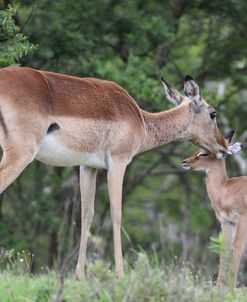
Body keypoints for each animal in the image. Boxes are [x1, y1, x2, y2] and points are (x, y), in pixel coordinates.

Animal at [0, 68, 229, 278]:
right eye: (213, 113)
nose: (224, 147)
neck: (141, 120)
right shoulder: (118, 163)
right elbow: (116, 214)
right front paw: (120, 274)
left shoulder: (87, 167)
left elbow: (86, 214)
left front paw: (80, 275)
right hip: (20, 154)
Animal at [182, 131, 244, 286]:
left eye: (204, 153)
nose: (185, 162)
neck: (226, 188)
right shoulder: (226, 221)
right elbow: (224, 249)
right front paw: (220, 288)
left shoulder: (242, 219)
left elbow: (237, 248)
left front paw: (231, 288)